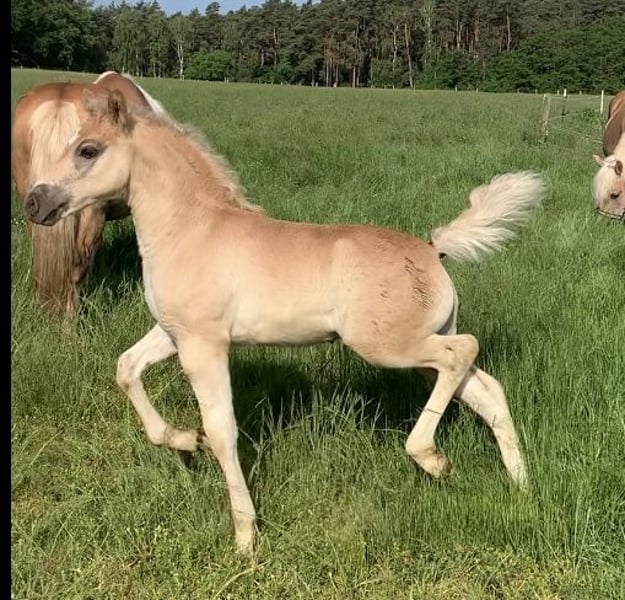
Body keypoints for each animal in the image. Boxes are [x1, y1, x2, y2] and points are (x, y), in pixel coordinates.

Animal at [22, 89, 544, 555]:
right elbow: (127, 368)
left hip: (390, 347)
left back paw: (432, 460)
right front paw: (184, 441)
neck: (190, 229)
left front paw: (245, 537)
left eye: (87, 150)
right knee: (487, 389)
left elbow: (223, 430)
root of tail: (433, 250)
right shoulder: (173, 333)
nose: (34, 203)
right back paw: (522, 487)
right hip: (419, 349)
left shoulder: (203, 344)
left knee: (465, 352)